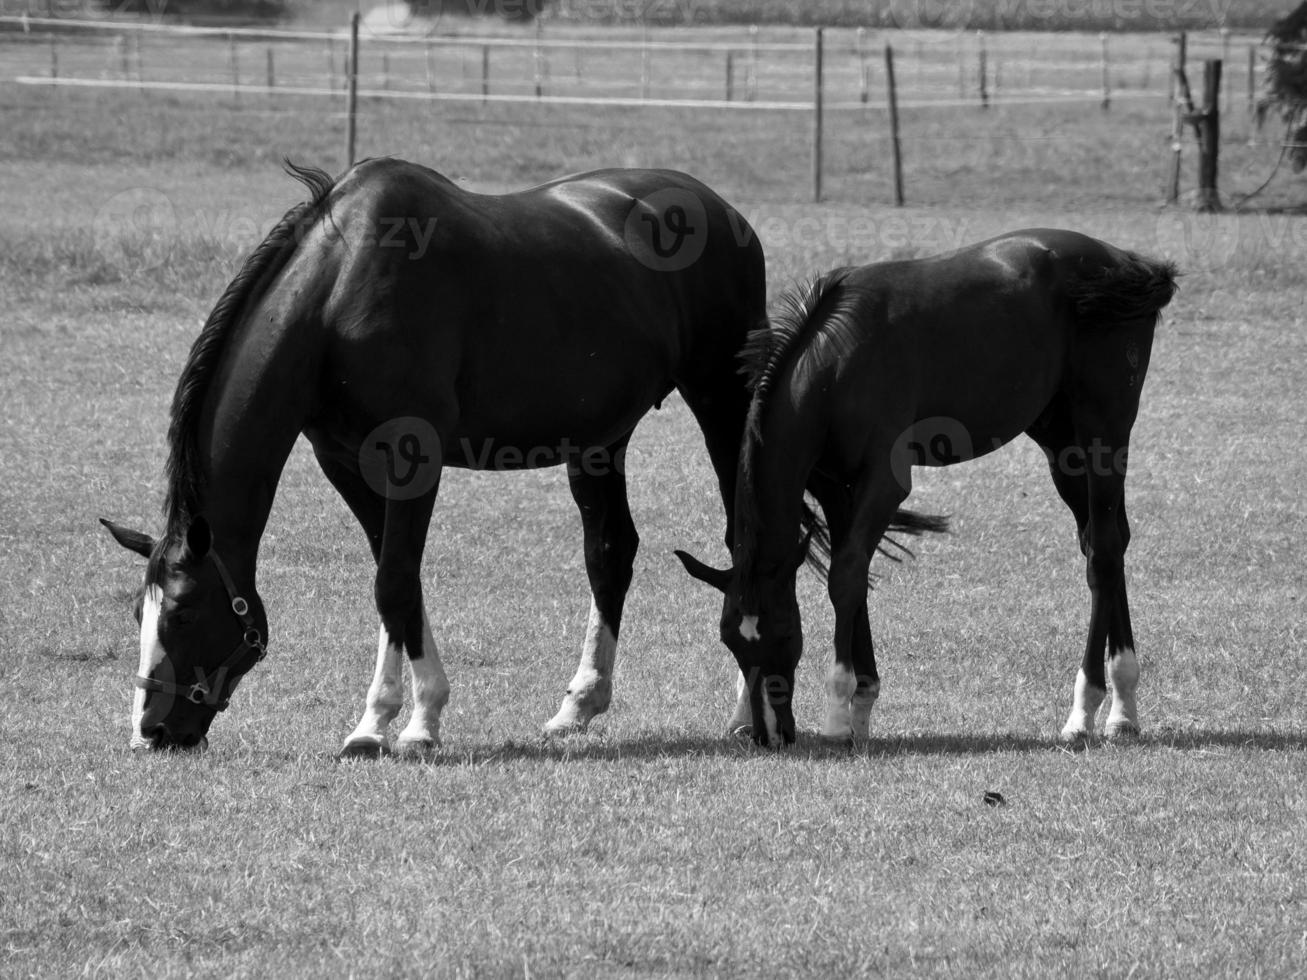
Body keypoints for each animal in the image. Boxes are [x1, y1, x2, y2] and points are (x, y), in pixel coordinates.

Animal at [107, 157, 773, 757]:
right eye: (141, 613)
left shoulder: (411, 457)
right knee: (610, 552)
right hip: (601, 439)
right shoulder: (345, 463)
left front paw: (392, 725)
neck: (338, 296)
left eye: (183, 614)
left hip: (723, 402)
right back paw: (578, 706)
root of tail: (722, 210)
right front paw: (403, 718)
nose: (151, 732)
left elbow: (394, 583)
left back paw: (748, 713)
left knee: (744, 544)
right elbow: (400, 581)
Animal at [679, 232, 1181, 752]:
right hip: (1061, 445)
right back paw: (1124, 708)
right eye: (731, 640)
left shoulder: (884, 484)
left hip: (1104, 434)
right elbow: (850, 575)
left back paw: (1085, 711)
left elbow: (846, 576)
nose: (768, 736)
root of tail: (1123, 261)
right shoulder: (839, 488)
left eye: (782, 631)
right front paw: (861, 707)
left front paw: (839, 715)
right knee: (1107, 543)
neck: (838, 360)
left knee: (1102, 553)